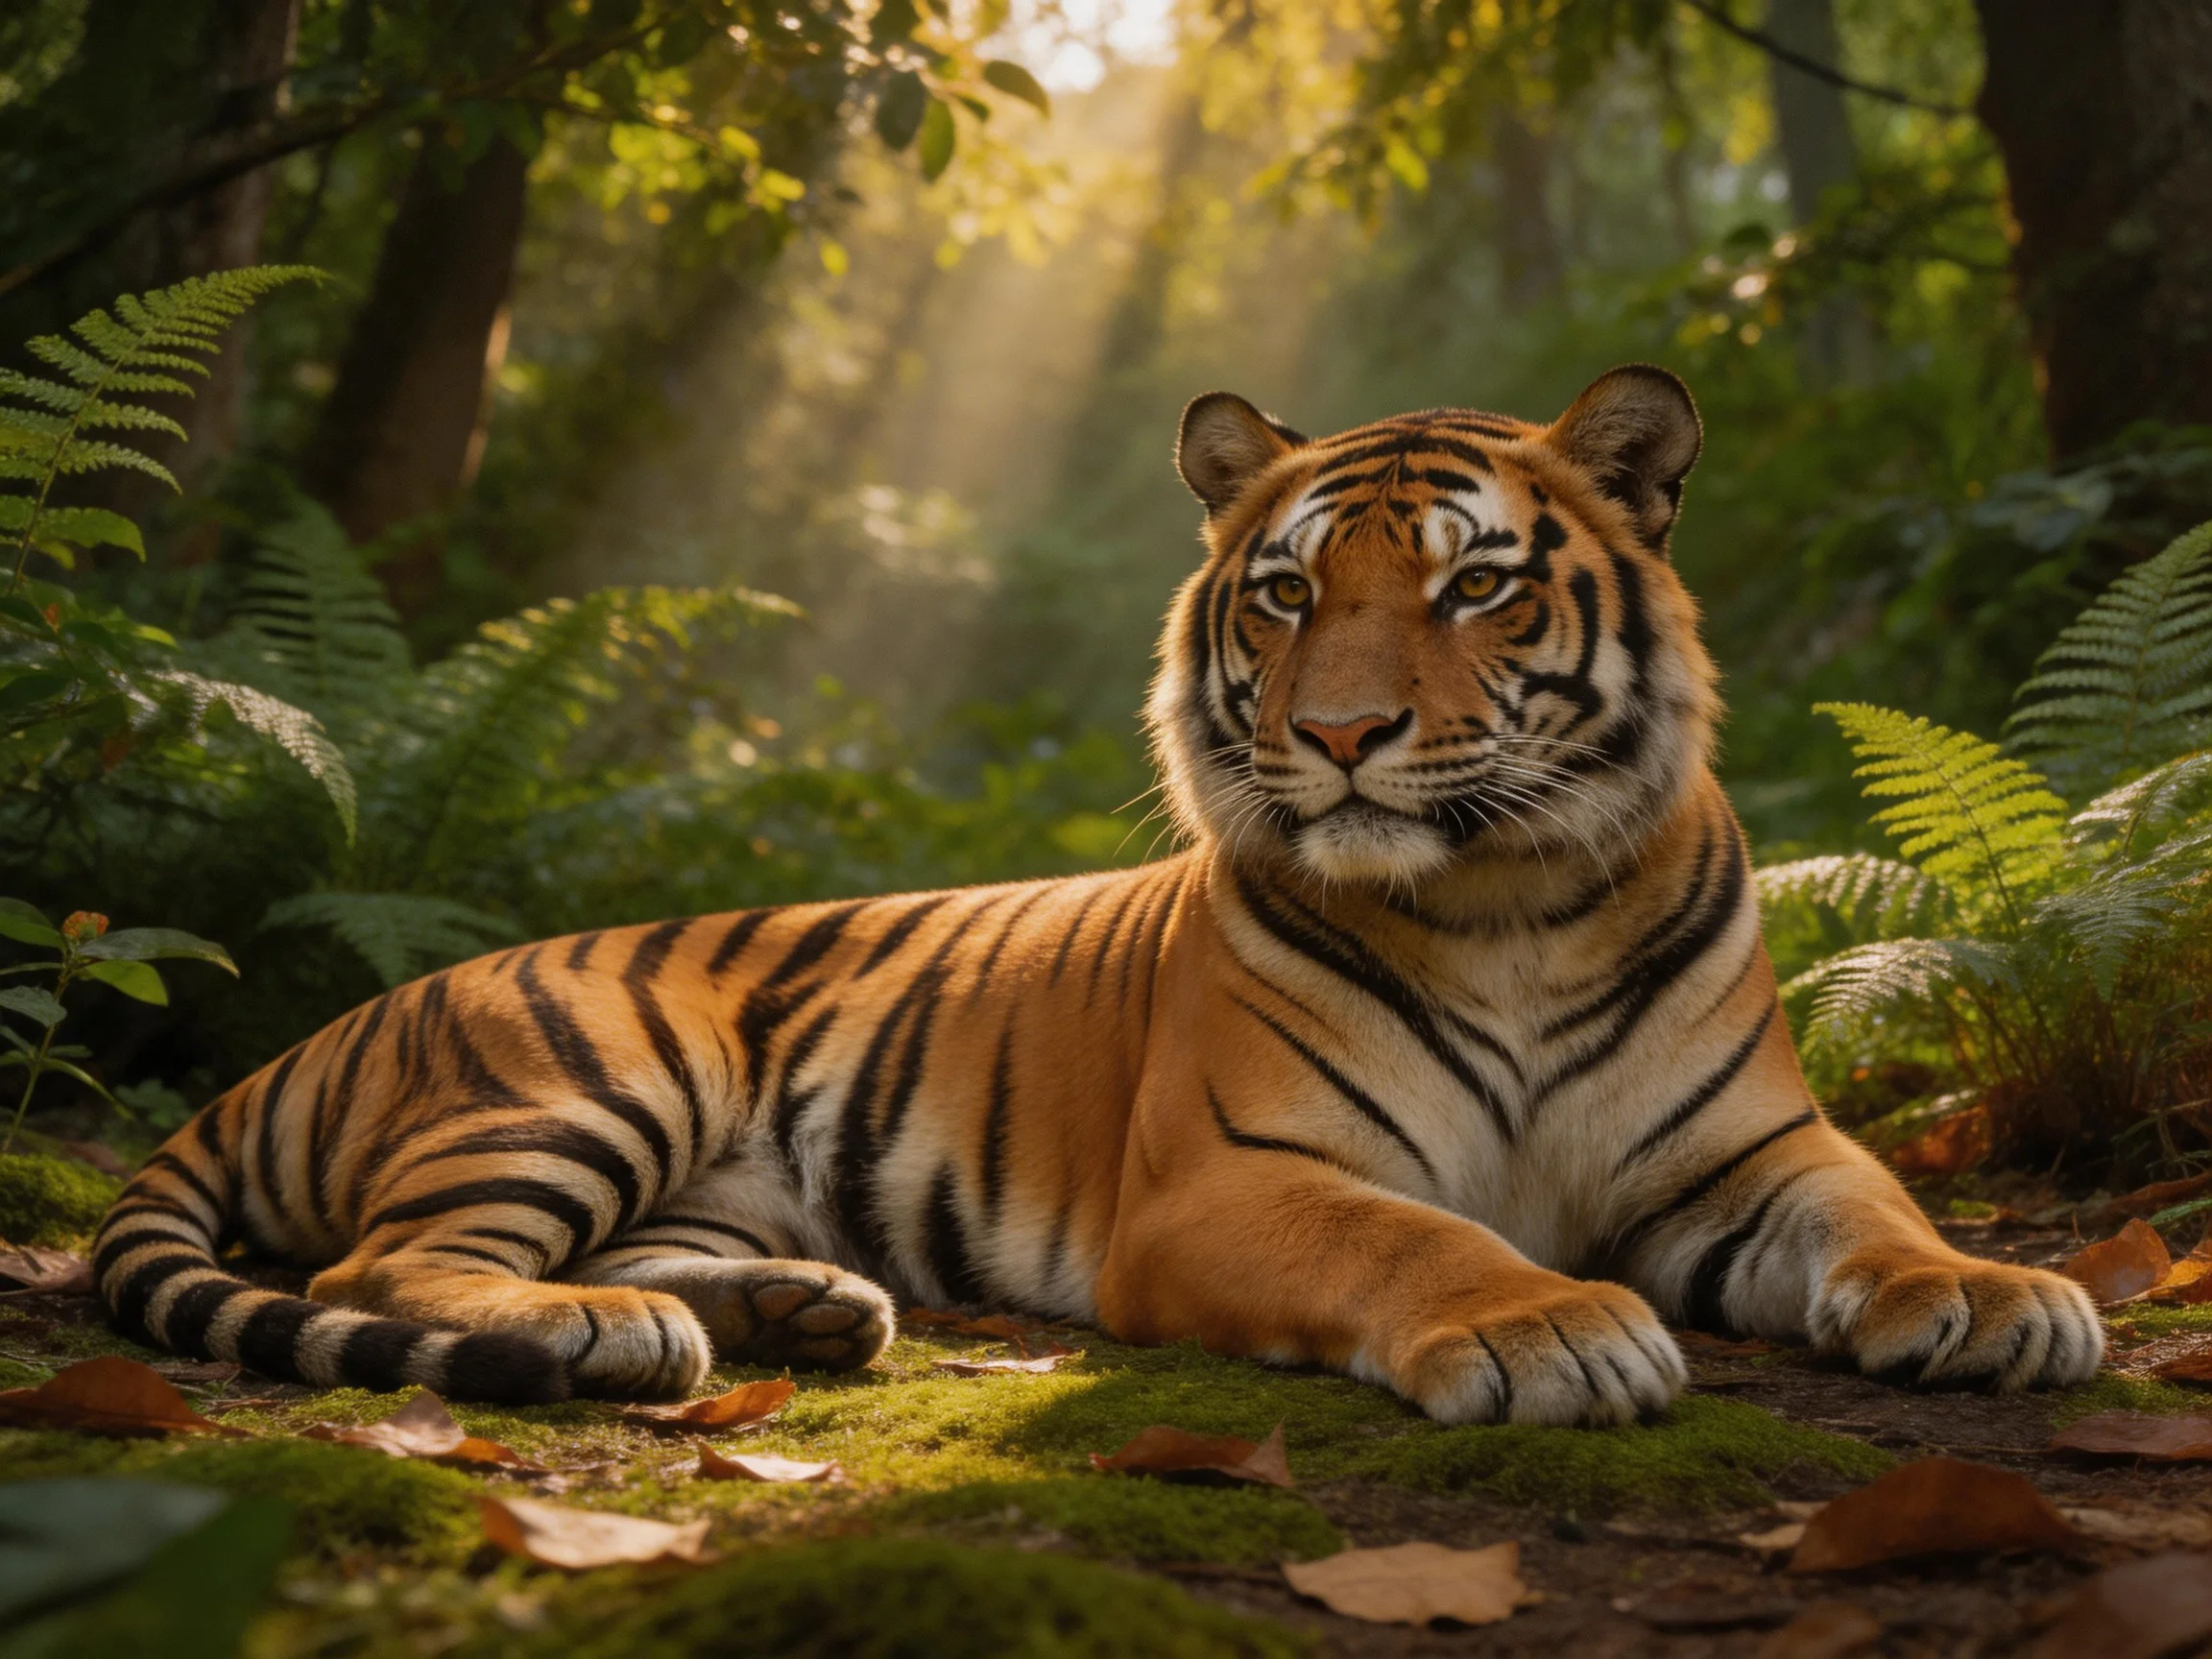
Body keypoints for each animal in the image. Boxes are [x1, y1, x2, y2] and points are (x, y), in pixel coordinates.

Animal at [93, 366, 2103, 1425]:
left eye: (1471, 586)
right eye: (1285, 593)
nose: (1342, 733)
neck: (1508, 904)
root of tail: (324, 1027)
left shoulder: (1750, 1152)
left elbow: (1875, 1212)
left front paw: (1995, 1294)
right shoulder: (1235, 1180)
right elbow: (1419, 1237)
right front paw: (1548, 1324)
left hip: (707, 1179)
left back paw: (800, 1312)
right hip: (585, 1079)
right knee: (384, 1262)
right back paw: (606, 1336)